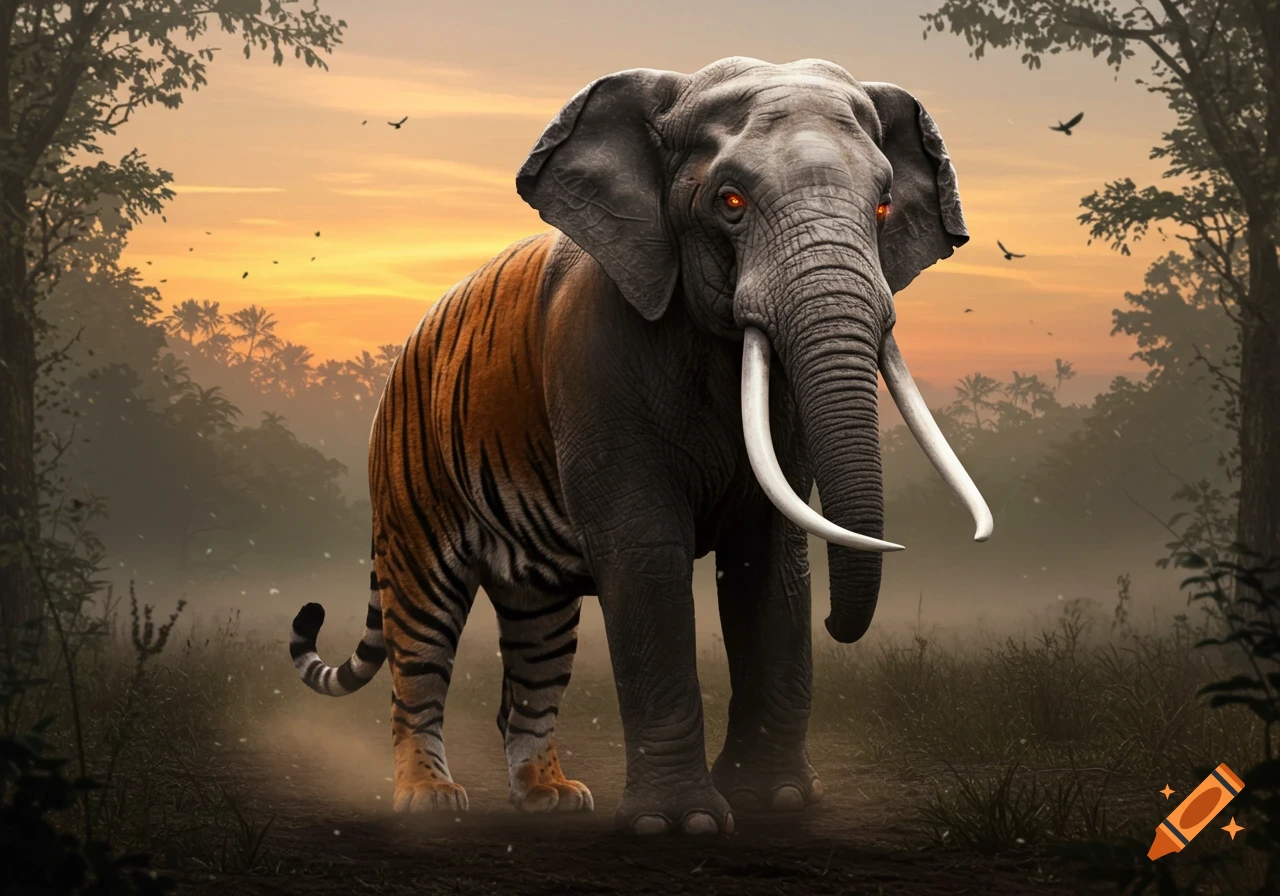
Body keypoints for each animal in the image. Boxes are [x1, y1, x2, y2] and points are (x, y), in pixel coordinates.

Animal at [288, 55, 991, 837]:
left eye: (883, 208)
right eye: (730, 201)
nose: (842, 626)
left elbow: (770, 561)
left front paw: (771, 802)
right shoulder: (592, 358)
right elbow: (646, 555)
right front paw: (680, 826)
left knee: (537, 639)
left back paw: (553, 799)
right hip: (411, 477)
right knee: (422, 630)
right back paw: (432, 803)